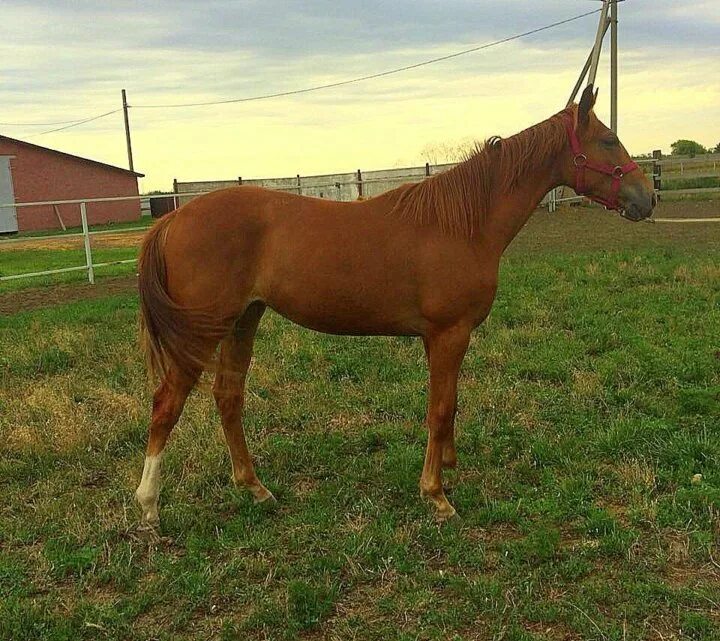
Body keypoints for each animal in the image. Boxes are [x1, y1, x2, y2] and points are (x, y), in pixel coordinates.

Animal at [132, 85, 656, 528]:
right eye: (609, 140)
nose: (647, 197)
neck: (461, 223)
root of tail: (173, 220)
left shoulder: (445, 338)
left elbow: (449, 404)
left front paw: (447, 467)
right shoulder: (448, 333)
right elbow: (440, 408)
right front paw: (436, 495)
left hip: (244, 320)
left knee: (228, 397)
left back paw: (256, 490)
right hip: (203, 331)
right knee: (166, 404)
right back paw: (150, 508)